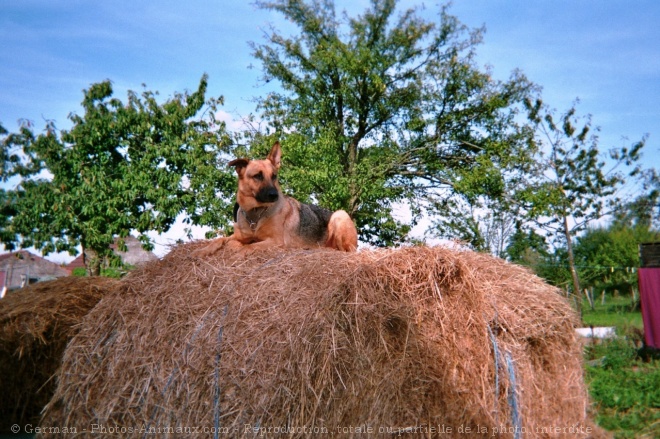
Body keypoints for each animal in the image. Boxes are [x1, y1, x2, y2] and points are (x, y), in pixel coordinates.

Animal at [193, 143, 358, 256]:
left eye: (274, 176)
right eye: (258, 176)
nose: (274, 195)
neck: (256, 213)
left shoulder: (275, 241)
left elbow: (250, 246)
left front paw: (238, 253)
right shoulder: (239, 236)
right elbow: (220, 239)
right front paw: (203, 250)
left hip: (340, 216)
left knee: (347, 251)